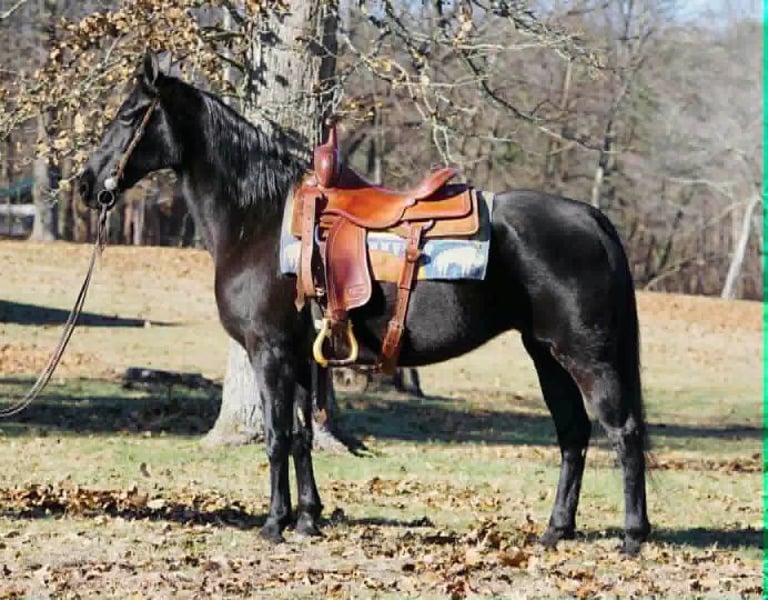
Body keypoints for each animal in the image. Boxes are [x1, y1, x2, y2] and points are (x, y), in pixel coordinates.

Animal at [77, 53, 651, 555]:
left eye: (128, 114)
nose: (85, 183)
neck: (256, 220)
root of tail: (590, 217)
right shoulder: (301, 357)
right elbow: (304, 436)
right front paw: (307, 519)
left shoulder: (270, 352)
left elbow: (277, 436)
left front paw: (273, 524)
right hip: (546, 355)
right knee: (574, 433)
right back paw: (557, 531)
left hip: (587, 356)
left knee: (622, 432)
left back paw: (632, 536)